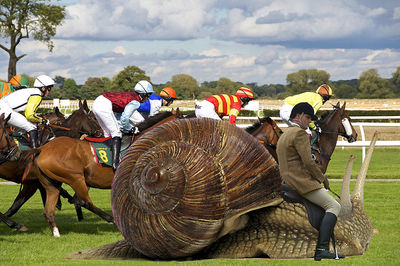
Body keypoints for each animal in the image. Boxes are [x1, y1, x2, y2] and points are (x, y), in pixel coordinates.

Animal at [30, 111, 182, 236]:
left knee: (49, 211)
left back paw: (56, 232)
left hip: (52, 184)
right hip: (75, 178)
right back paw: (111, 220)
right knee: (83, 201)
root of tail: (42, 149)